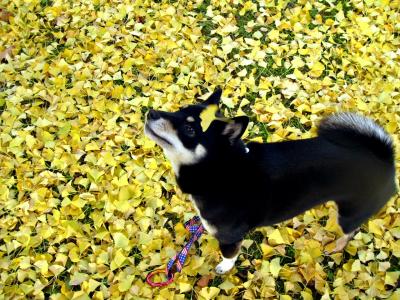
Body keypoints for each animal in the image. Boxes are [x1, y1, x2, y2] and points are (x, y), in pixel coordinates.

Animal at [143, 87, 394, 274]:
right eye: (179, 110)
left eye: (189, 129)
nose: (151, 113)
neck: (221, 172)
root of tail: (385, 159)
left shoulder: (230, 237)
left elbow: (229, 255)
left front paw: (225, 267)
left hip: (351, 213)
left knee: (351, 231)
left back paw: (337, 246)